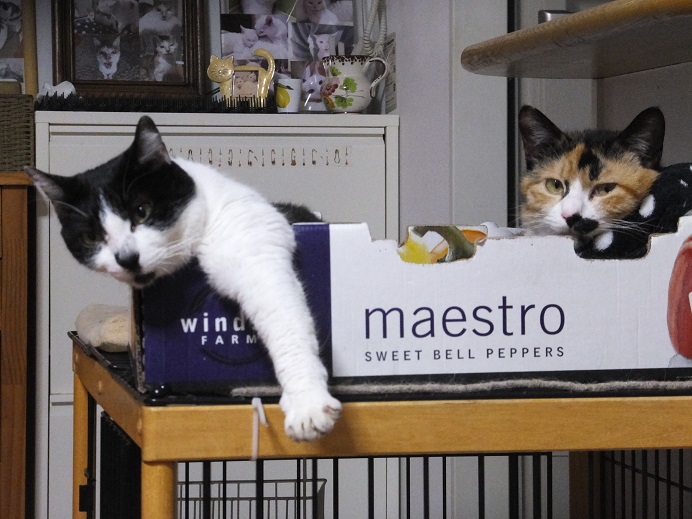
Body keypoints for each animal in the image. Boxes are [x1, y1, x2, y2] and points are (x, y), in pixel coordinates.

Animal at [26, 116, 342, 442]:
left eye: (142, 211)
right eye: (91, 237)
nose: (127, 258)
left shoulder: (256, 257)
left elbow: (286, 326)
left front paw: (307, 404)